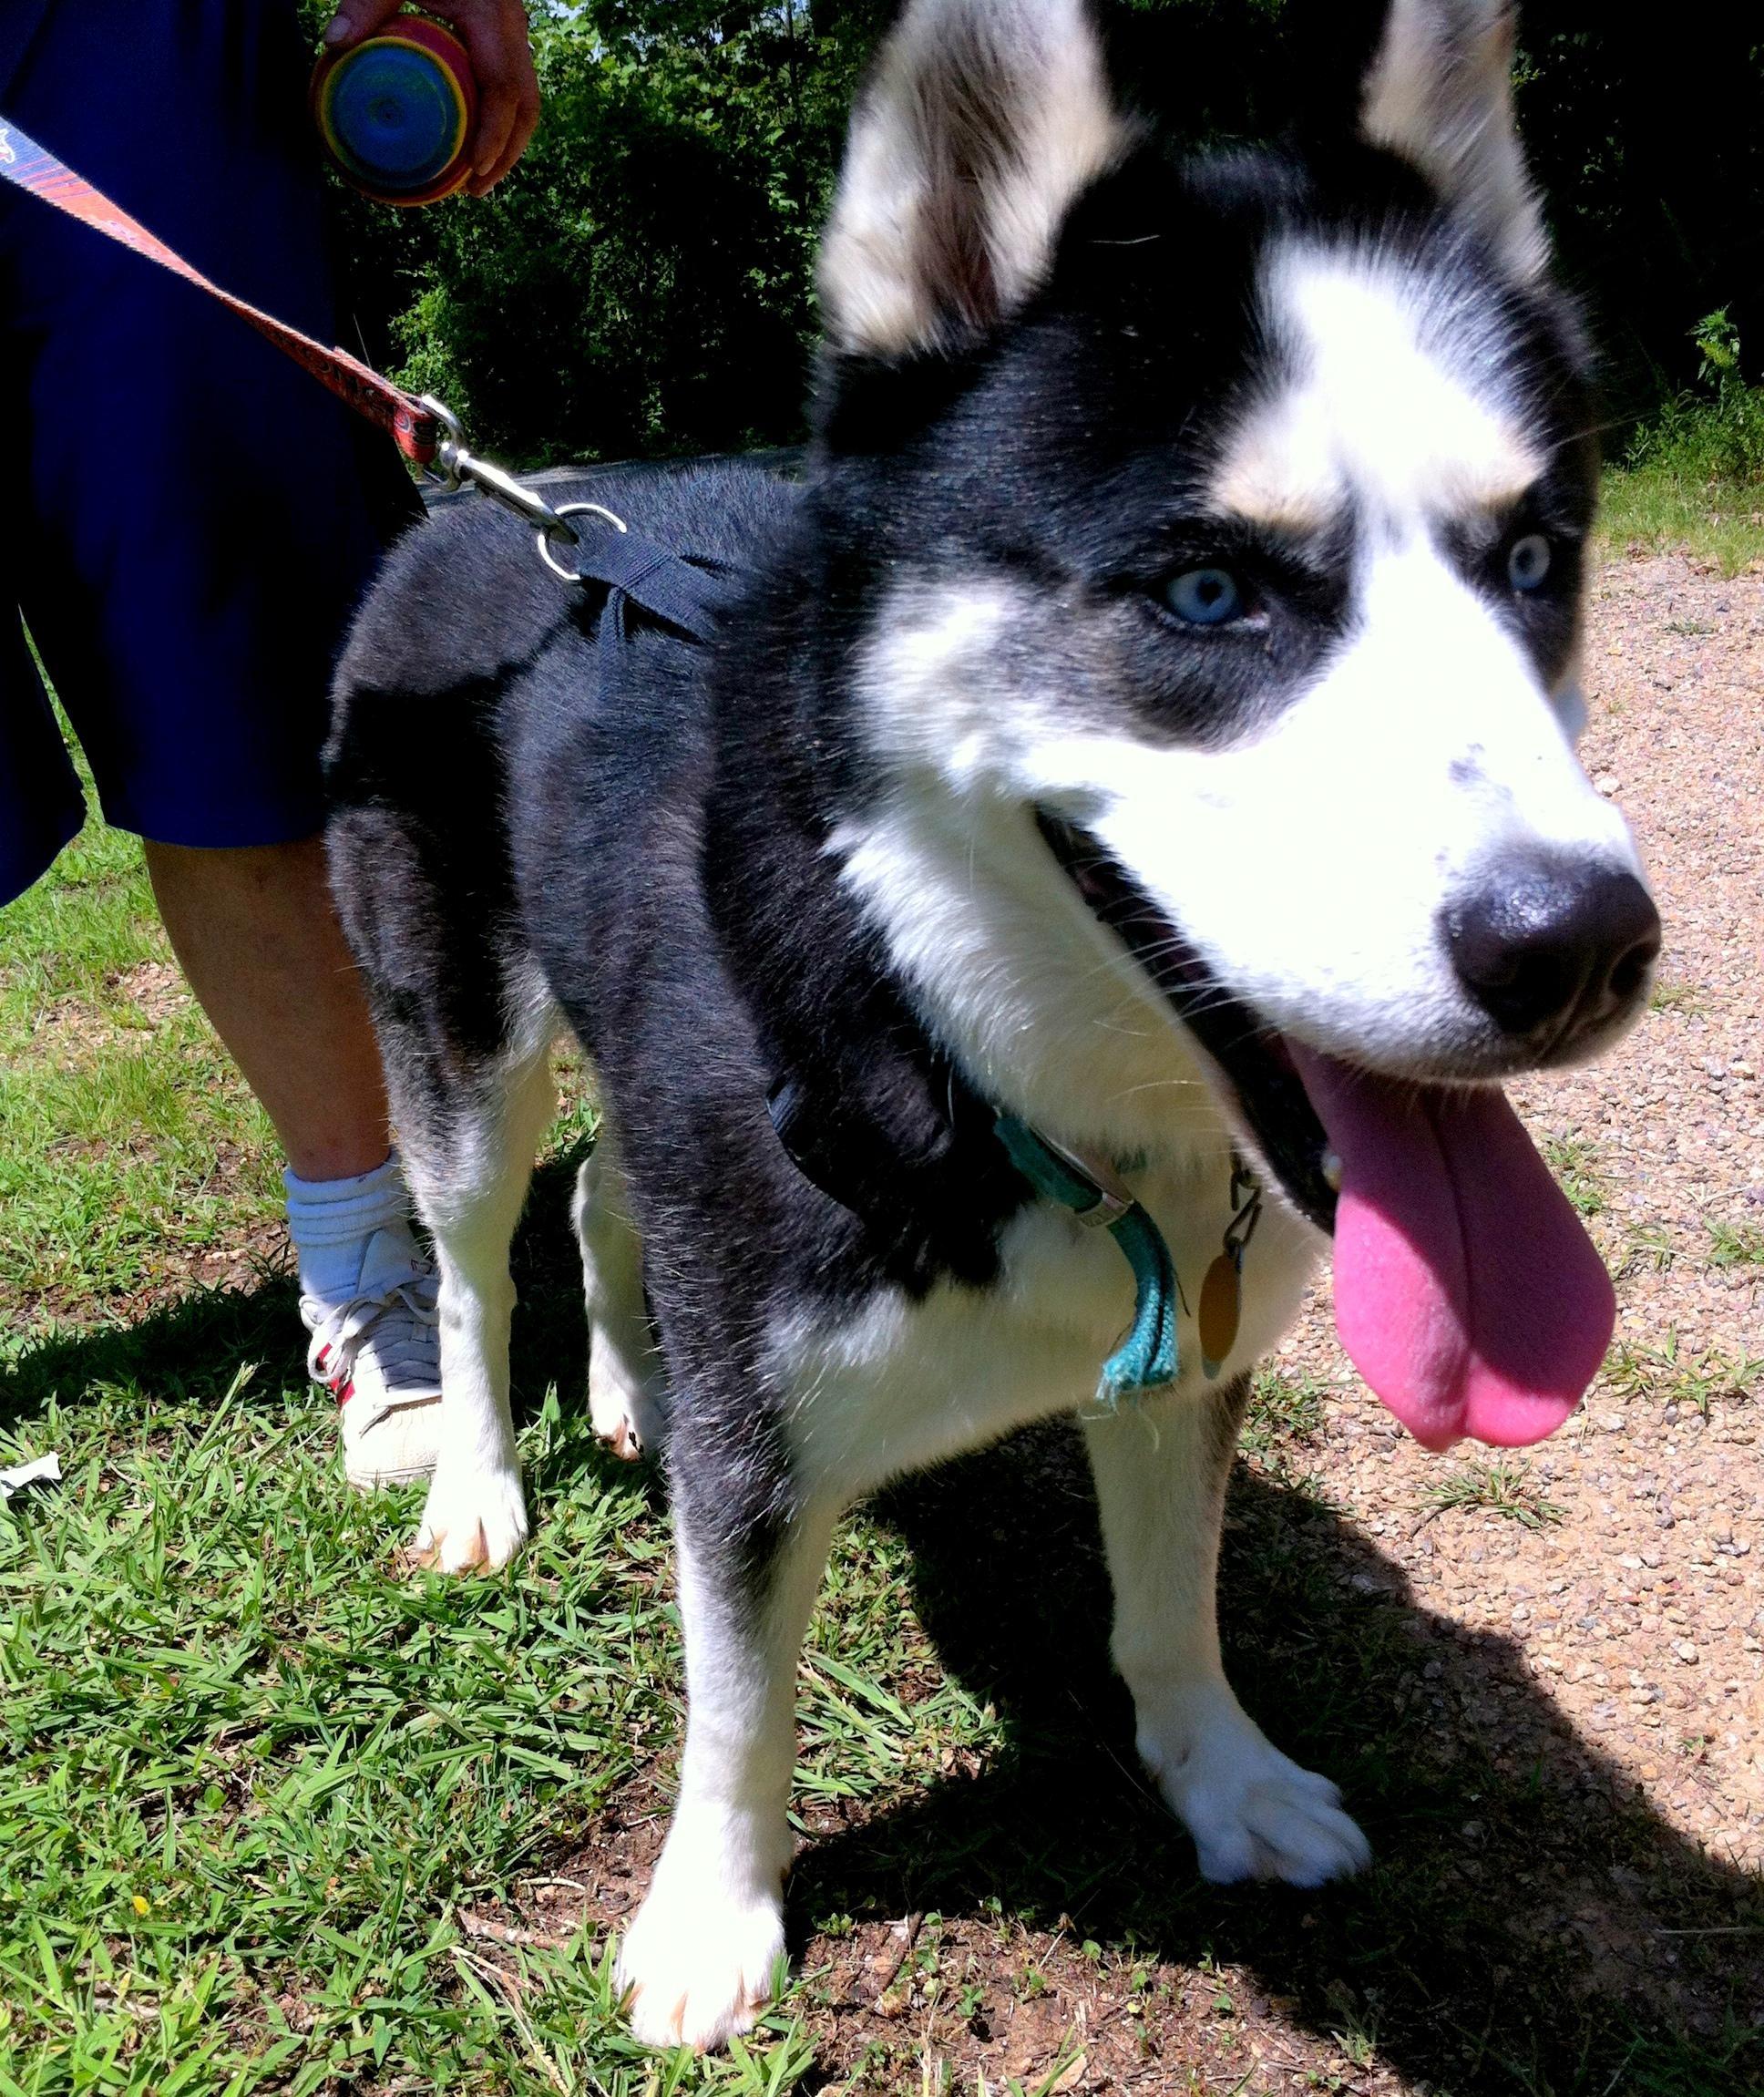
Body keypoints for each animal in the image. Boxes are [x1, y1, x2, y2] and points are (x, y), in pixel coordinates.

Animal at [323, 0, 1661, 2046]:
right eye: (1205, 588)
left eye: (1531, 561)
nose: (1579, 945)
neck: (967, 1047)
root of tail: (491, 501)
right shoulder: (766, 1397)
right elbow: (737, 1691)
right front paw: (710, 1916)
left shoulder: (1181, 1348)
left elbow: (1170, 1599)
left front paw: (1221, 1774)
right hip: (456, 1020)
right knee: (477, 1255)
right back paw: (480, 1478)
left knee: (609, 1198)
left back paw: (631, 1386)